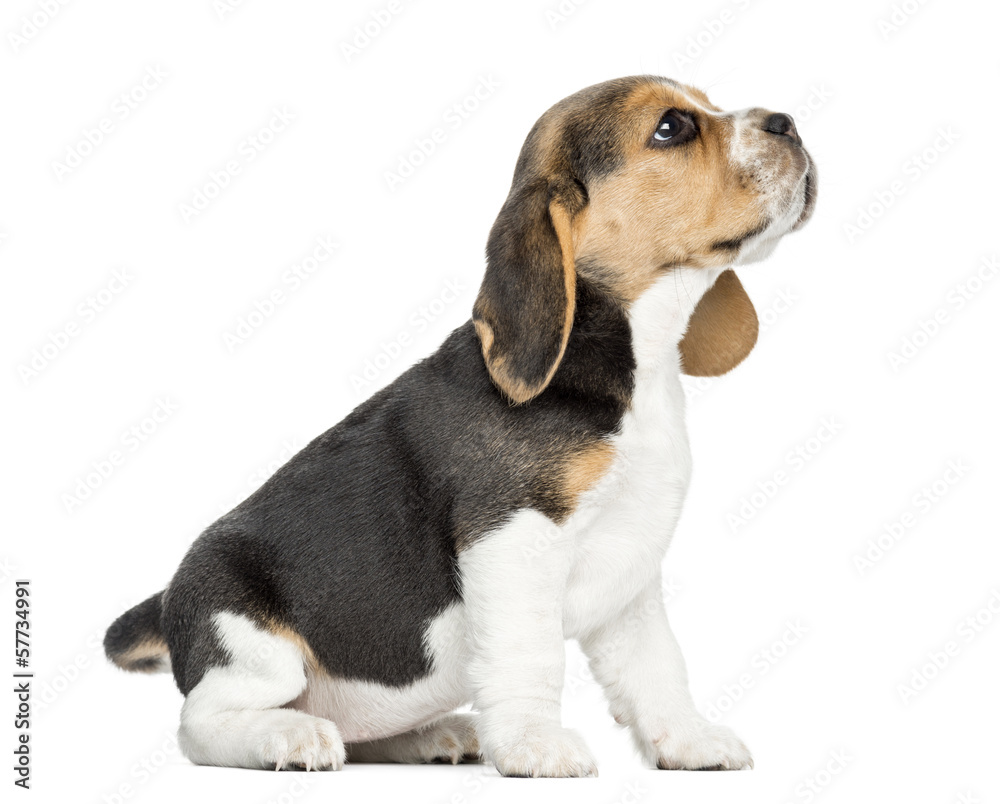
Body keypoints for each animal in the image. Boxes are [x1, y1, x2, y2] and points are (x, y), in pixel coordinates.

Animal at [107, 75, 812, 780]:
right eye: (671, 127)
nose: (788, 123)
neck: (633, 359)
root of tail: (169, 598)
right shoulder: (512, 539)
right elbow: (533, 657)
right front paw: (535, 743)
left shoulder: (630, 574)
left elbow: (656, 667)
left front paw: (688, 740)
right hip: (248, 643)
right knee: (201, 727)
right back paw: (289, 736)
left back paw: (435, 735)